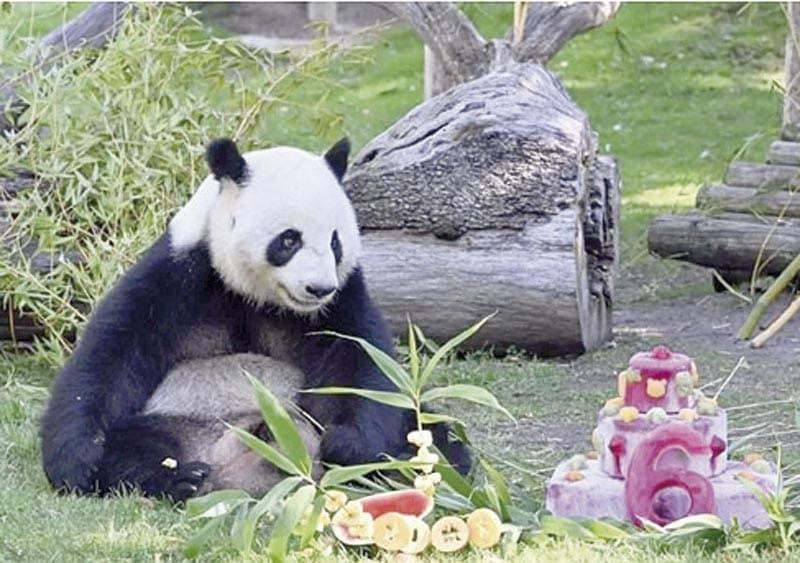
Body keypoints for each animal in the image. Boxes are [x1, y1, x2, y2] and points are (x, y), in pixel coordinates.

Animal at [41, 137, 469, 501]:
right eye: (289, 239)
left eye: (335, 241)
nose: (318, 288)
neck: (259, 296)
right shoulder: (181, 271)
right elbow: (112, 355)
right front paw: (78, 461)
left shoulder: (343, 299)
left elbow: (359, 364)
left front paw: (349, 446)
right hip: (174, 419)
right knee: (135, 446)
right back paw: (178, 477)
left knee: (430, 438)